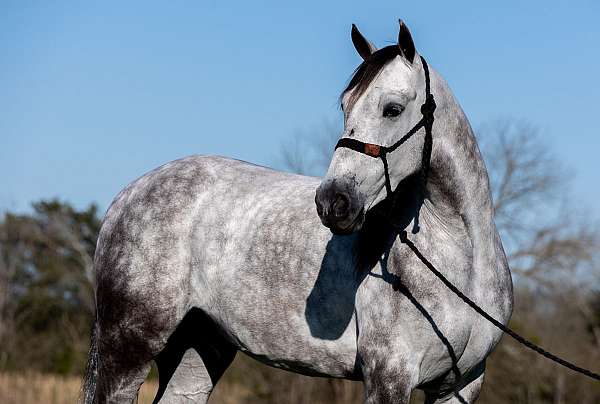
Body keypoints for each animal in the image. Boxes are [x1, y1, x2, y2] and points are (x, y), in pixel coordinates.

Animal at [82, 20, 512, 402]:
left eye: (392, 108)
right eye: (345, 106)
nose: (333, 202)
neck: (460, 259)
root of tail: (128, 195)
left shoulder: (459, 386)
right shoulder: (390, 377)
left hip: (198, 349)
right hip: (129, 349)